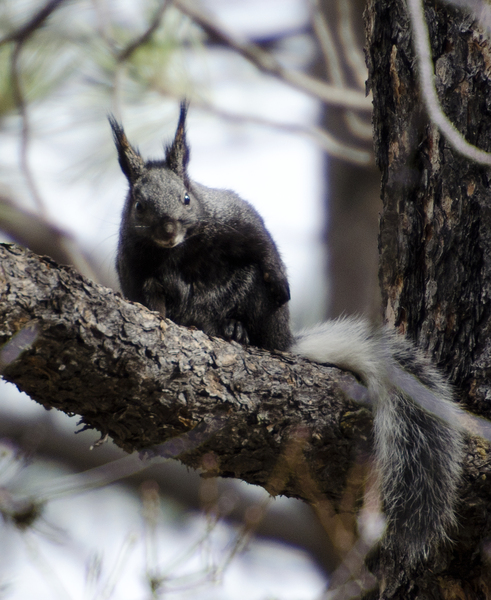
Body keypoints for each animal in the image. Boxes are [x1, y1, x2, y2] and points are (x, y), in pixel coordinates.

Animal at [110, 104, 466, 572]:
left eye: (187, 197)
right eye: (139, 205)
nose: (168, 229)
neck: (178, 253)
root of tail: (284, 342)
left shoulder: (235, 218)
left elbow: (263, 249)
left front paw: (281, 283)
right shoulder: (134, 264)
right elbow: (144, 291)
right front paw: (157, 307)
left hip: (253, 303)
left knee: (252, 302)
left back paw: (236, 330)